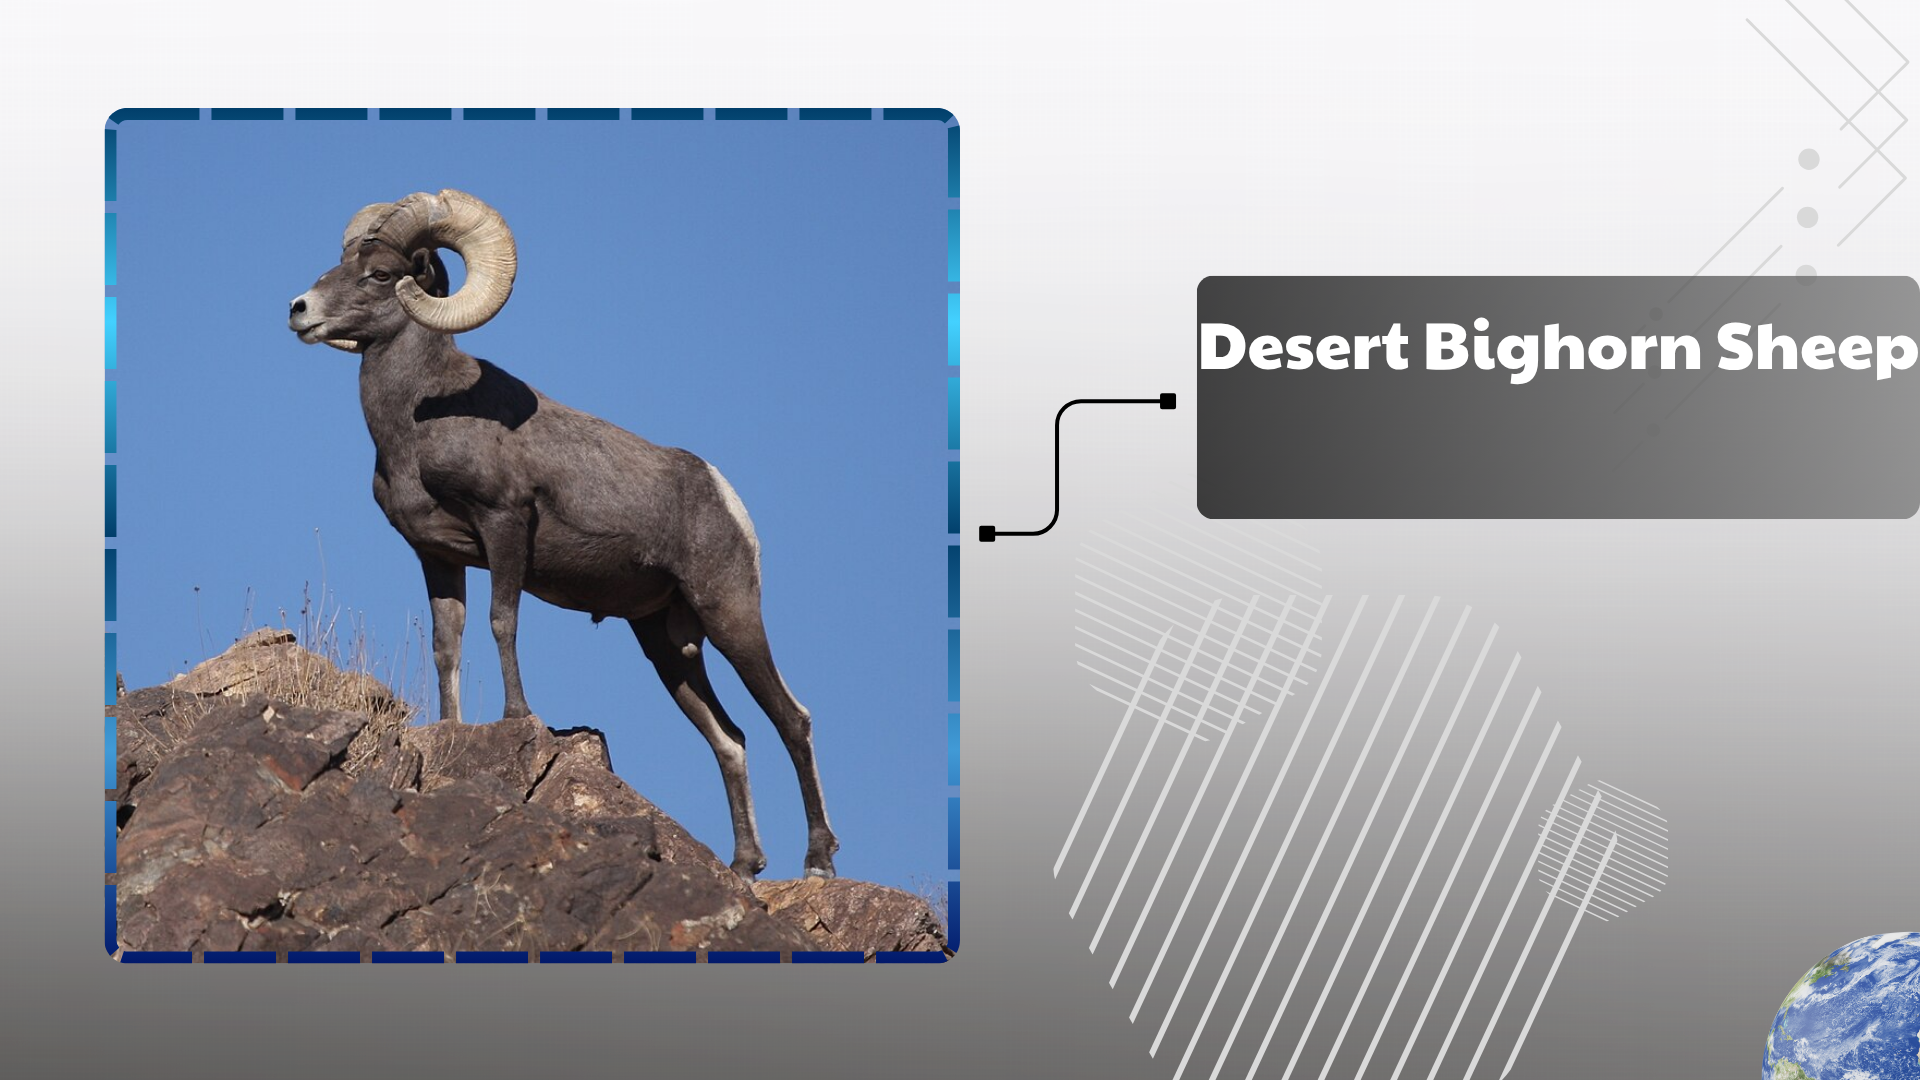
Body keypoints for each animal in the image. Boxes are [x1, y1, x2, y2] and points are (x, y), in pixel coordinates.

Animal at [286, 190, 837, 880]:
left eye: (381, 274)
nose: (299, 310)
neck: (417, 420)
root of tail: (724, 495)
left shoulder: (504, 526)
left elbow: (502, 622)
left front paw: (518, 717)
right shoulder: (436, 556)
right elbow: (448, 644)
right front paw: (451, 726)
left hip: (729, 614)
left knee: (793, 720)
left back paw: (818, 861)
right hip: (664, 643)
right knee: (729, 738)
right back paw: (744, 864)